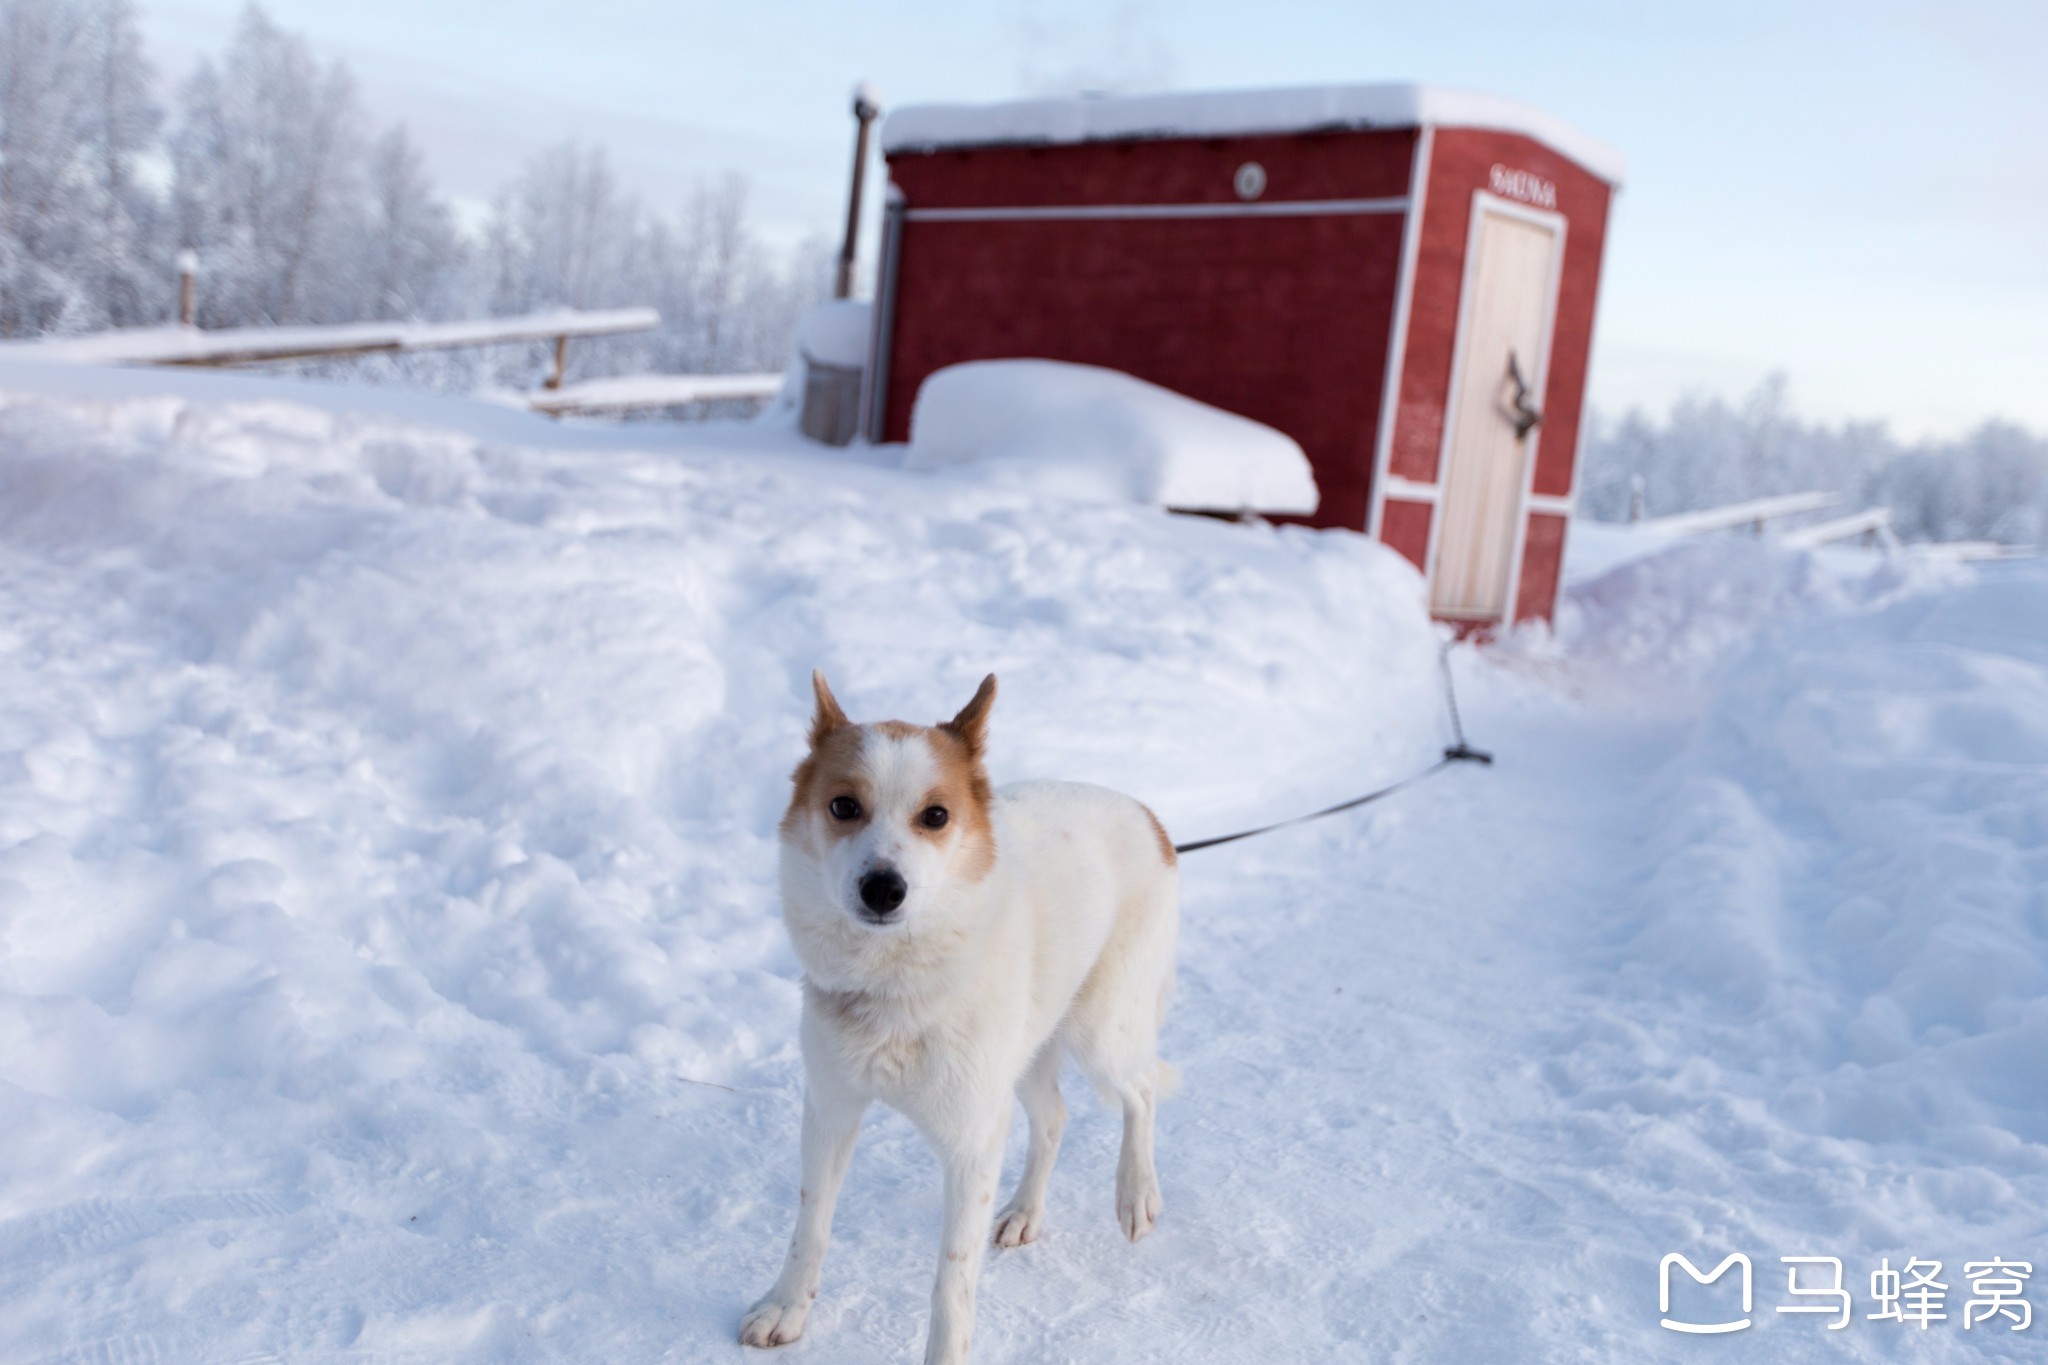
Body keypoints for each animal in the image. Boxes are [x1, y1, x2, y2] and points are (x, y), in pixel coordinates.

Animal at [745, 675, 1179, 1365]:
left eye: (936, 816)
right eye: (843, 806)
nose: (883, 888)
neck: (894, 982)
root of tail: (1145, 813)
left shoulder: (972, 1142)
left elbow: (952, 1281)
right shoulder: (831, 1109)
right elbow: (809, 1226)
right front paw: (787, 1308)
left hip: (1100, 1031)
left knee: (1138, 1091)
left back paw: (1136, 1193)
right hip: (1028, 1053)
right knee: (1053, 1117)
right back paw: (1026, 1212)